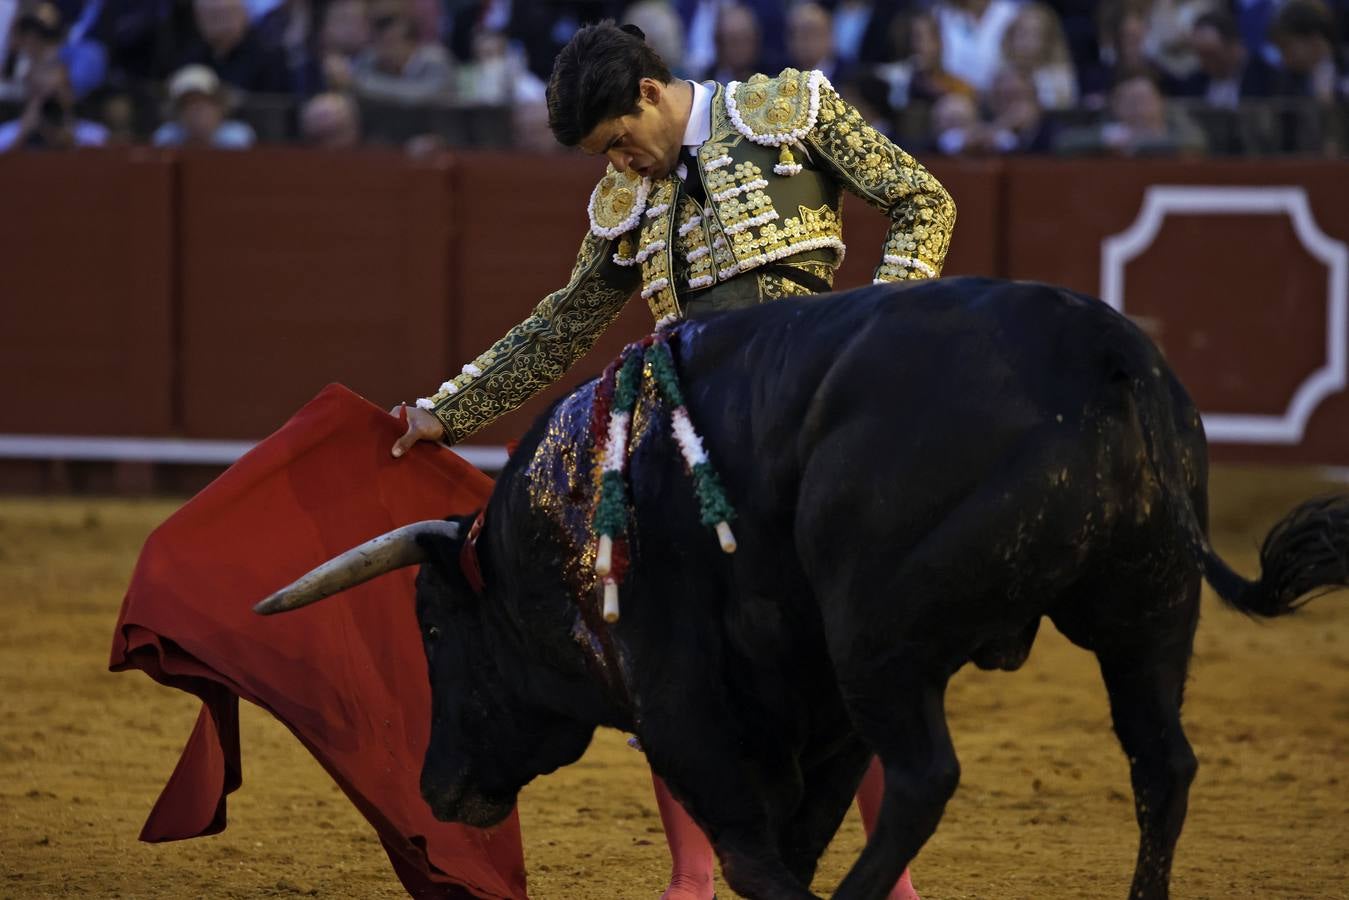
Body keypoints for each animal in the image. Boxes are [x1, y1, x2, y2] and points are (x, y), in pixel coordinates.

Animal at [254, 279, 1349, 900]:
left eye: (433, 629)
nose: (434, 787)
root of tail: (1102, 351)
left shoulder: (683, 702)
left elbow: (756, 856)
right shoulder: (811, 708)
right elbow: (797, 836)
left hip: (881, 641)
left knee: (924, 777)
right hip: (1145, 611)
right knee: (1160, 764)